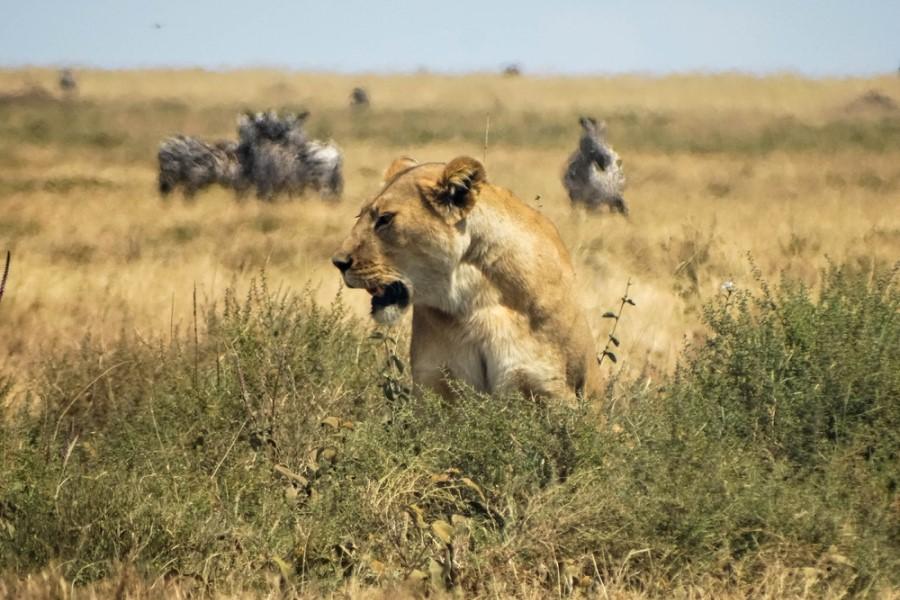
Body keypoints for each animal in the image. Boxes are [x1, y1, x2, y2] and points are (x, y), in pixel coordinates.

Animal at [331, 156, 602, 401]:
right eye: (359, 215)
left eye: (385, 219)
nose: (338, 262)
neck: (476, 298)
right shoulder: (435, 383)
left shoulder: (550, 388)